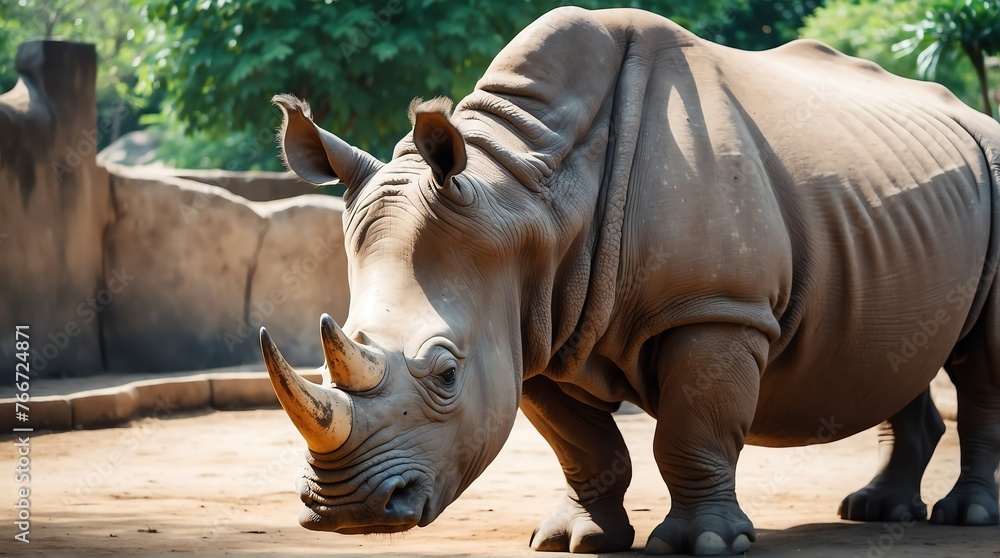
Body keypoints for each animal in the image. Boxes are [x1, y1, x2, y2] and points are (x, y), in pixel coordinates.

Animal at [257, 6, 1000, 556]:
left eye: (446, 374)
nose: (349, 510)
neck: (524, 193)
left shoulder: (714, 308)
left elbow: (693, 429)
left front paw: (705, 544)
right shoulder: (530, 326)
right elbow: (581, 445)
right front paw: (575, 540)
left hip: (989, 165)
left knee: (979, 360)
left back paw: (964, 517)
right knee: (899, 344)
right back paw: (874, 510)